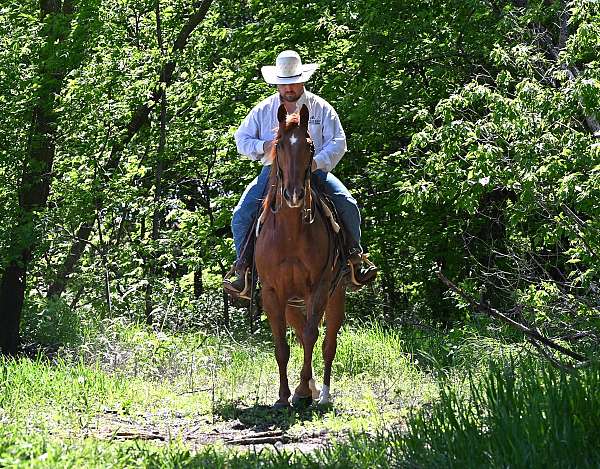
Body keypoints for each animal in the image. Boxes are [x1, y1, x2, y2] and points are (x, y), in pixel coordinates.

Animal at [254, 102, 346, 406]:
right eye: (279, 144)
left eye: (309, 145)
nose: (293, 194)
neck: (291, 234)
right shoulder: (272, 293)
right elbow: (282, 344)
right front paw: (284, 395)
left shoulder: (319, 288)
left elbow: (310, 336)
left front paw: (304, 389)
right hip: (292, 302)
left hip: (336, 294)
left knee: (328, 343)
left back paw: (324, 393)